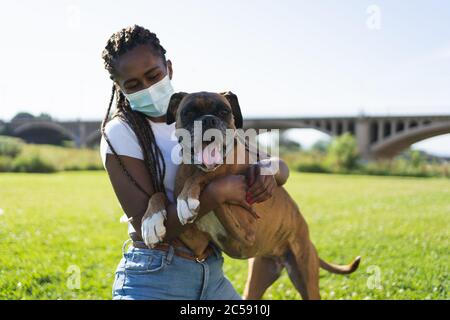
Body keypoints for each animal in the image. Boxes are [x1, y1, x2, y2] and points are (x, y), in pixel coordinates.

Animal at [144, 90, 362, 300]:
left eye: (224, 111)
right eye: (189, 112)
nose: (208, 120)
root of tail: (308, 240)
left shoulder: (247, 231)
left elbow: (210, 175)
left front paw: (187, 197)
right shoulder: (196, 244)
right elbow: (159, 194)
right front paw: (151, 221)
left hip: (306, 278)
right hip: (257, 280)